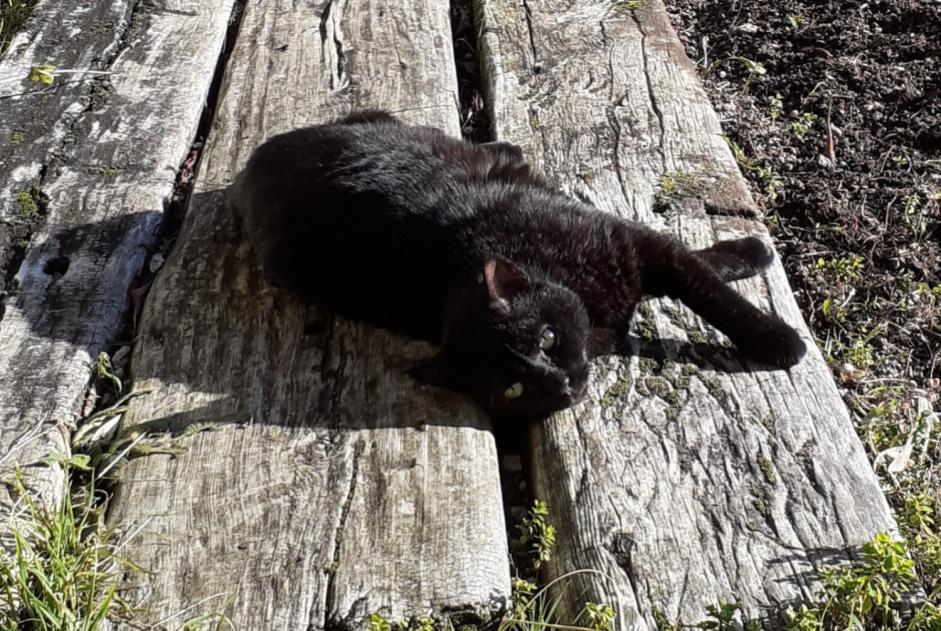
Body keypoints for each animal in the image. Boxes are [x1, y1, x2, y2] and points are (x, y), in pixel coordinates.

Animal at [229, 110, 808, 418]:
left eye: (547, 339)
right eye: (512, 389)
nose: (562, 387)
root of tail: (251, 163)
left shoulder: (633, 243)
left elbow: (706, 286)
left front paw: (775, 329)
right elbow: (692, 277)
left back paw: (505, 149)